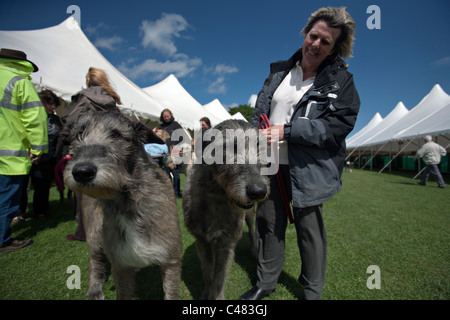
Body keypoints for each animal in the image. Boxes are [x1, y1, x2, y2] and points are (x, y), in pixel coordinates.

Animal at [63, 112, 183, 300]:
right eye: (79, 135)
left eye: (116, 135)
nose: (82, 172)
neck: (130, 202)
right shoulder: (120, 267)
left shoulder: (171, 261)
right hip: (94, 234)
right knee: (94, 261)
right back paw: (95, 289)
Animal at [184, 120, 270, 300]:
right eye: (228, 147)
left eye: (260, 147)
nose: (258, 191)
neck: (219, 196)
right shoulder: (202, 240)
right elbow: (208, 272)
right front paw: (207, 293)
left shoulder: (227, 243)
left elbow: (219, 277)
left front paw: (216, 296)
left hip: (250, 215)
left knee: (252, 229)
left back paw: (254, 249)